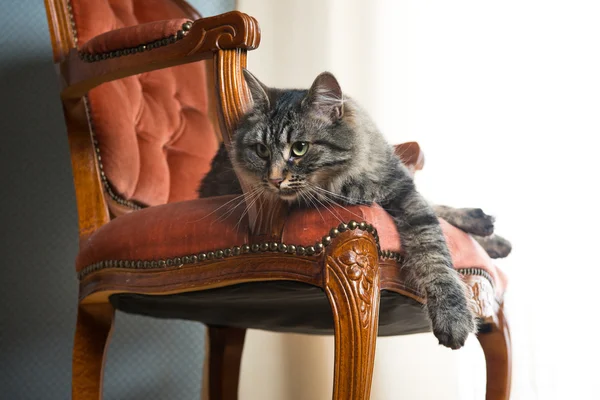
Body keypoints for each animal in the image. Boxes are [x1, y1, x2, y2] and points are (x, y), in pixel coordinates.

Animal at [199, 70, 480, 348]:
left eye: (299, 148)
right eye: (261, 150)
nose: (275, 179)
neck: (349, 178)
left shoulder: (405, 194)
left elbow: (434, 254)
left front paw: (452, 317)